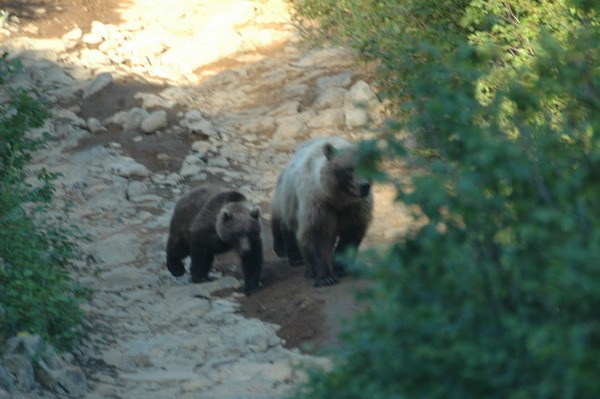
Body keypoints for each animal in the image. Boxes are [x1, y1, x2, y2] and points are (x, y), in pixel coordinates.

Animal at [270, 138, 372, 288]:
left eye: (367, 165)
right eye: (349, 169)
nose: (364, 185)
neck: (338, 200)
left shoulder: (356, 208)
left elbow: (351, 234)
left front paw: (340, 268)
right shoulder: (318, 204)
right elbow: (317, 235)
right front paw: (326, 277)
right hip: (290, 197)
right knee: (286, 224)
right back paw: (295, 257)